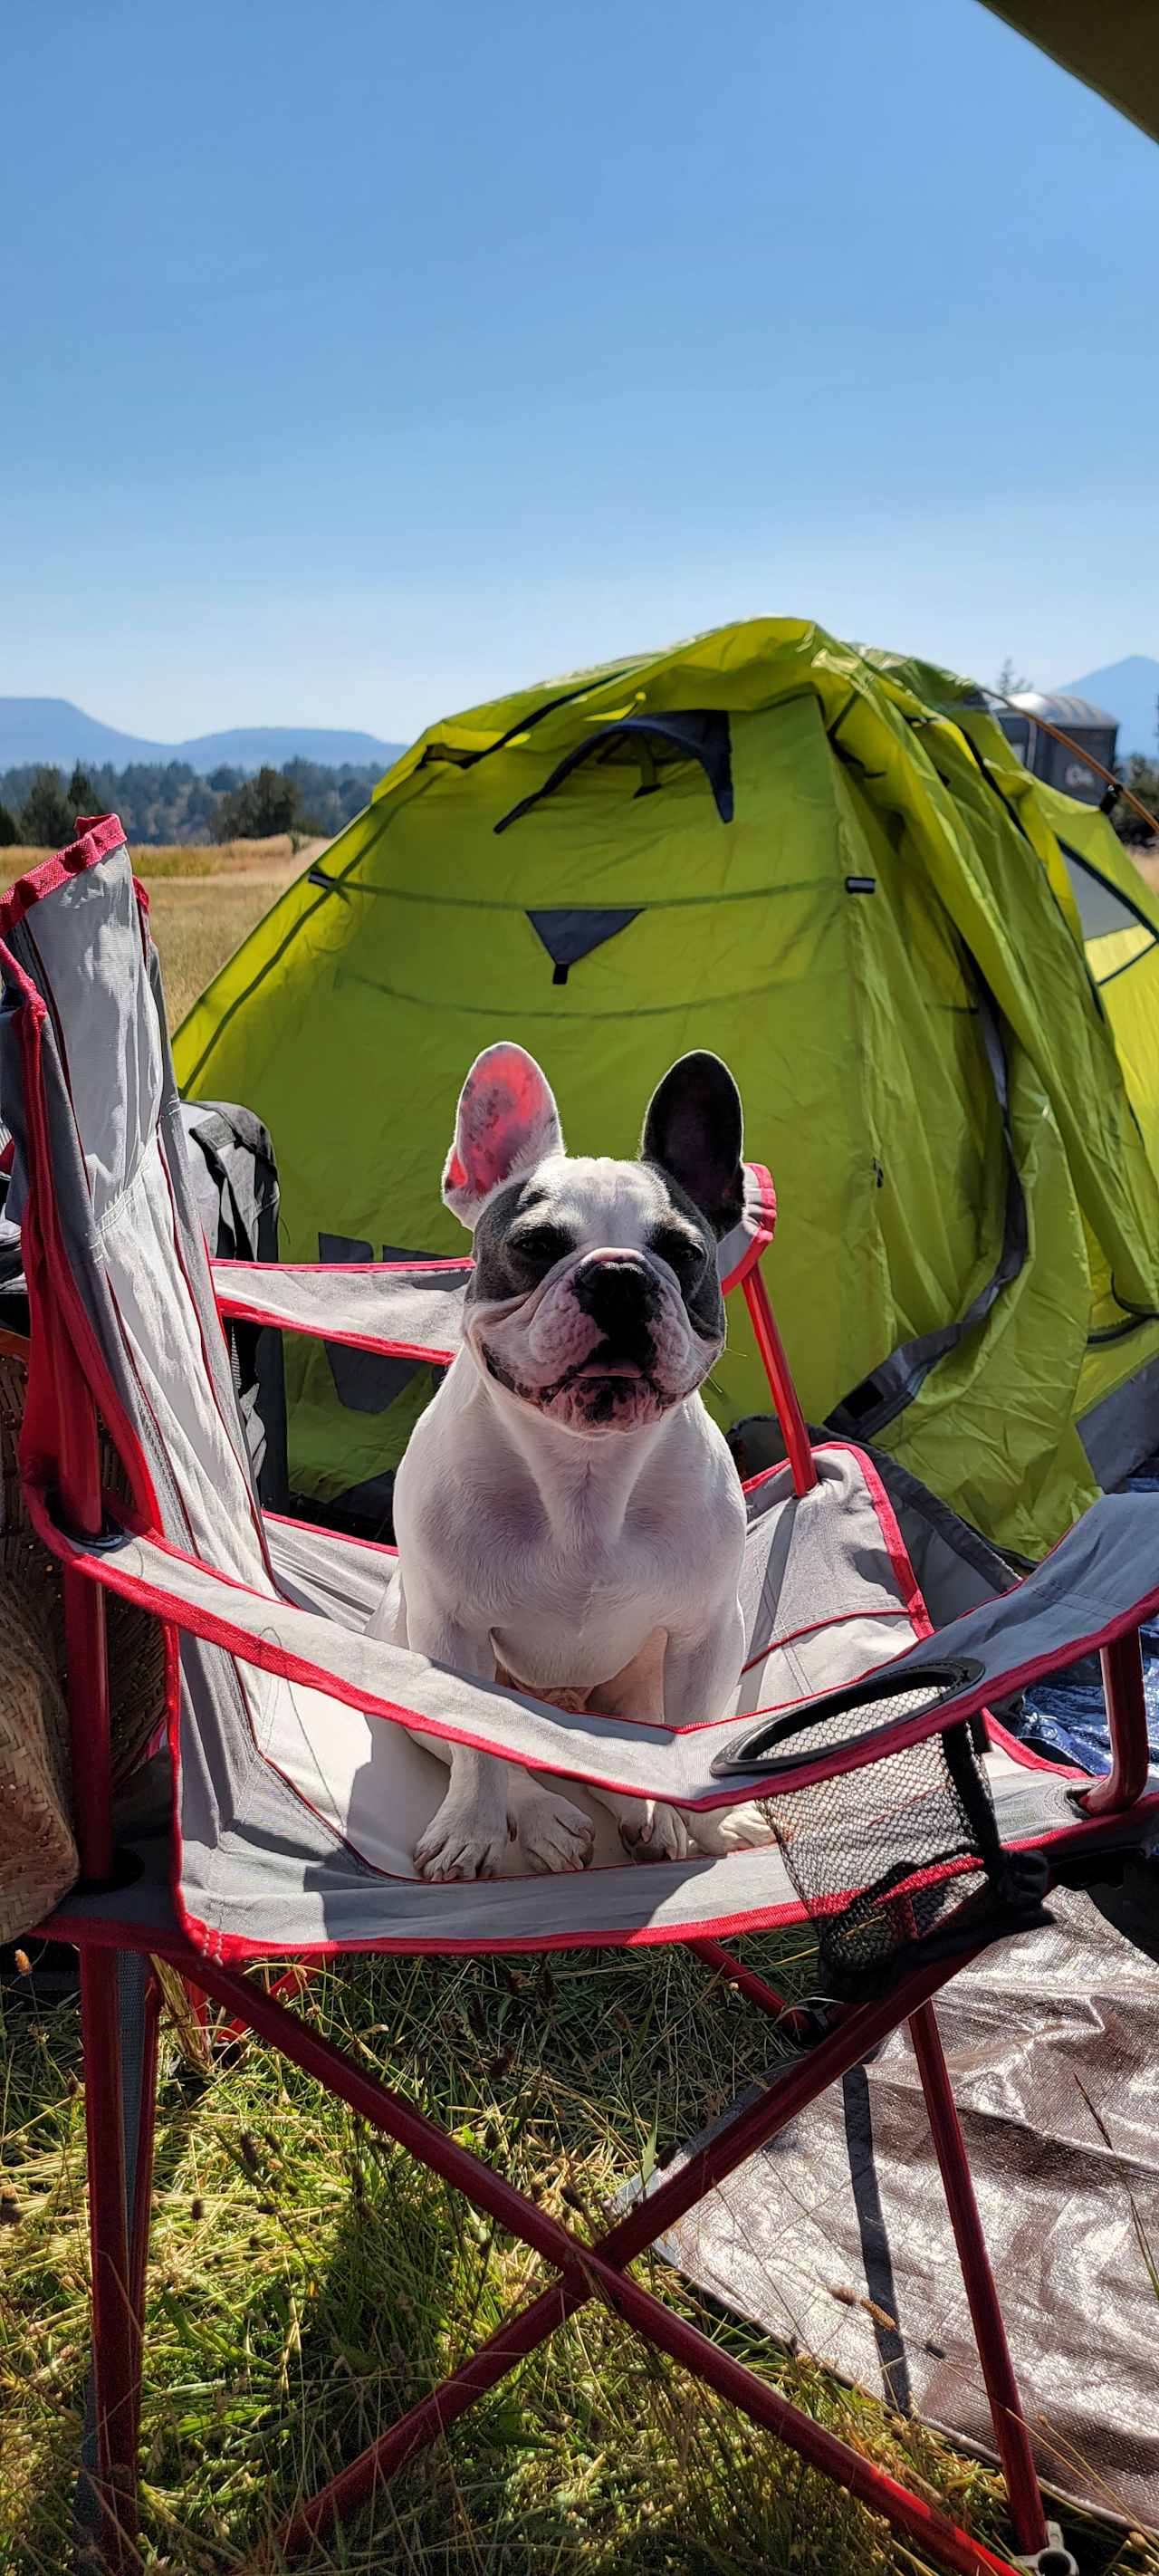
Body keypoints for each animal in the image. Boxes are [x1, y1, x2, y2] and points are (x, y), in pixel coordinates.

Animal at [370, 1040, 752, 1875]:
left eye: (684, 1252)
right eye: (537, 1246)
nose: (619, 1274)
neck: (585, 1470)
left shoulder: (708, 1635)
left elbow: (695, 1736)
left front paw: (710, 1823)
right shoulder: (448, 1635)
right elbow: (480, 1743)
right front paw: (474, 1831)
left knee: (629, 1751)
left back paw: (650, 1816)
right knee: (508, 1759)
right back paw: (542, 1820)